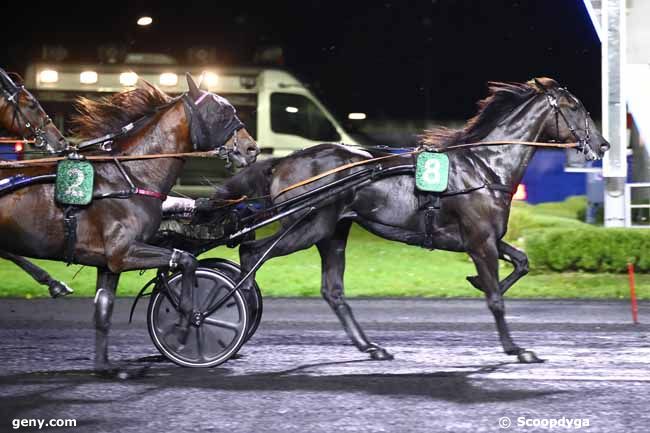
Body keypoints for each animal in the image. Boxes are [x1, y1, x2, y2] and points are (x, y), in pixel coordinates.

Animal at [0, 74, 258, 374]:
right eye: (224, 111)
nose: (252, 148)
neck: (131, 177)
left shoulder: (108, 264)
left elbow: (103, 311)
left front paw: (105, 367)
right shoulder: (123, 253)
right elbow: (186, 260)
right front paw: (187, 322)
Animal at [206, 77, 608, 362]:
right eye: (575, 107)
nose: (603, 145)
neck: (484, 166)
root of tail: (283, 161)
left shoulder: (486, 238)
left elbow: (522, 262)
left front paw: (476, 281)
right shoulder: (480, 241)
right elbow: (495, 298)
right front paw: (516, 349)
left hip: (332, 231)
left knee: (332, 290)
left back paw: (370, 347)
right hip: (306, 225)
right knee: (251, 252)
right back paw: (222, 306)